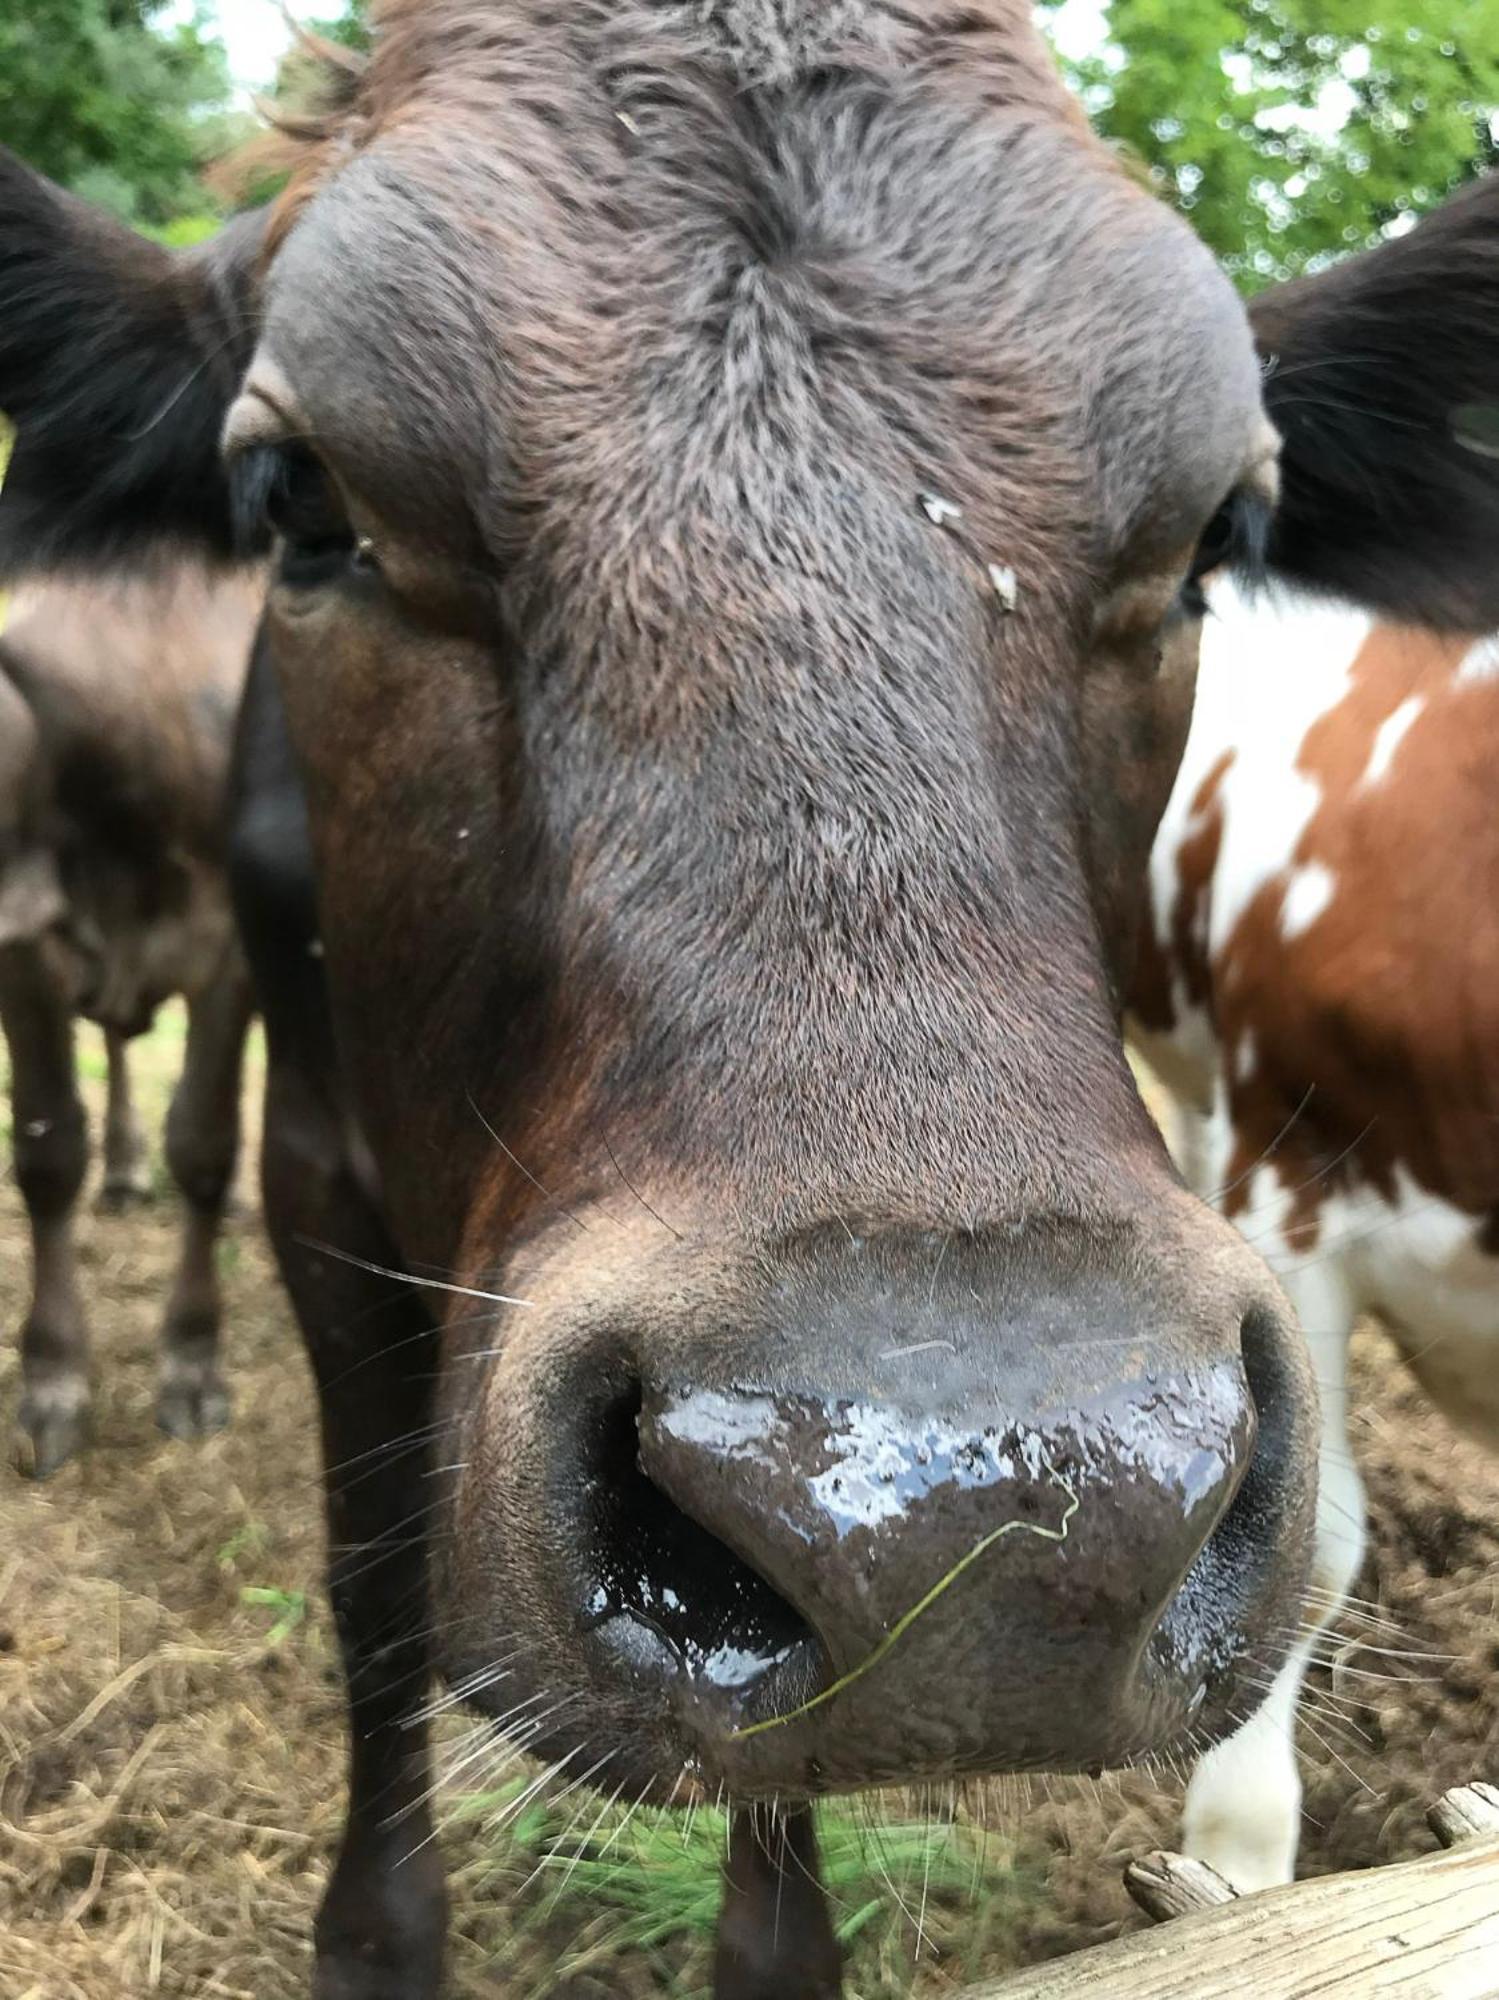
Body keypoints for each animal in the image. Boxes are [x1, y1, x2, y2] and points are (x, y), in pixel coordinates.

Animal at [1, 564, 261, 1472]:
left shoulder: (230, 953)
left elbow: (205, 1145)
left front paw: (191, 1360)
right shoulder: (28, 958)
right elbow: (47, 1151)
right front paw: (52, 1377)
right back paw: (119, 1168)